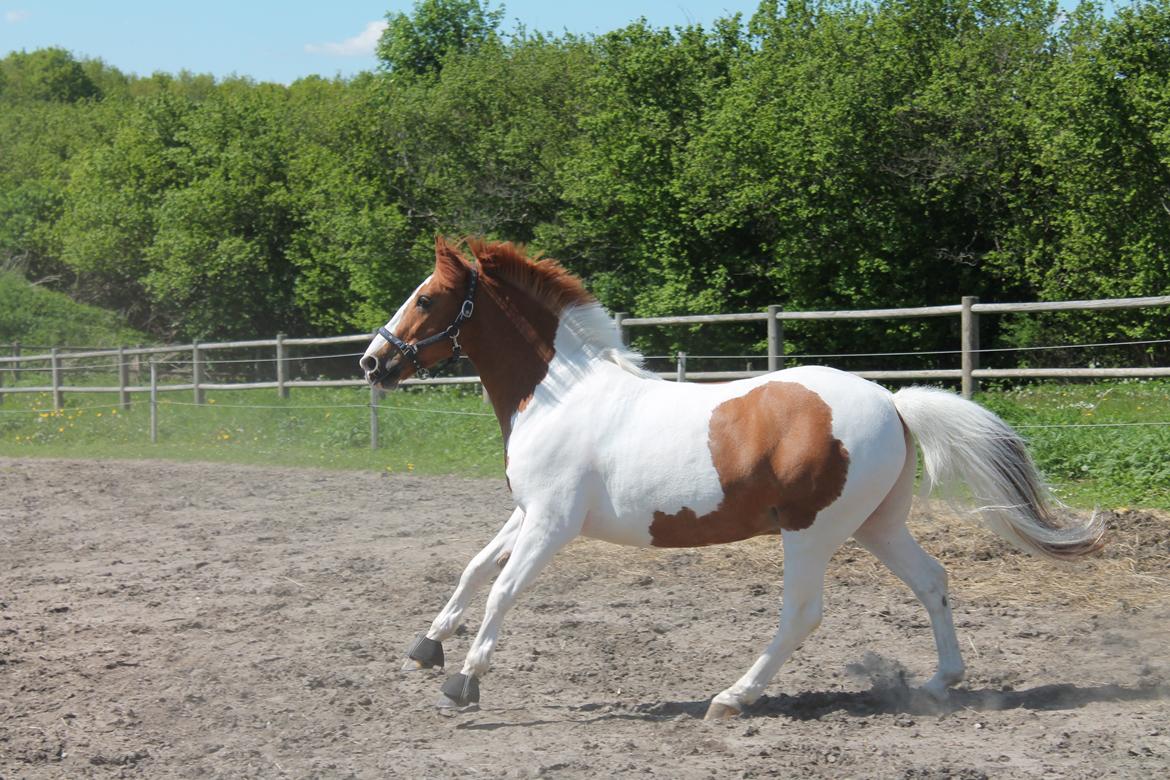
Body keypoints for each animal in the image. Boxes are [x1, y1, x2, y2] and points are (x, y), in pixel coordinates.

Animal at [358, 238, 1104, 720]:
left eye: (428, 298)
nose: (372, 363)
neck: (559, 396)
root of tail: (893, 402)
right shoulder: (529, 512)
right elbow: (475, 568)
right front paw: (426, 647)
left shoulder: (553, 523)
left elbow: (503, 590)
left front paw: (464, 683)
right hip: (876, 526)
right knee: (931, 582)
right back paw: (939, 680)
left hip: (811, 532)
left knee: (802, 613)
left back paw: (732, 698)